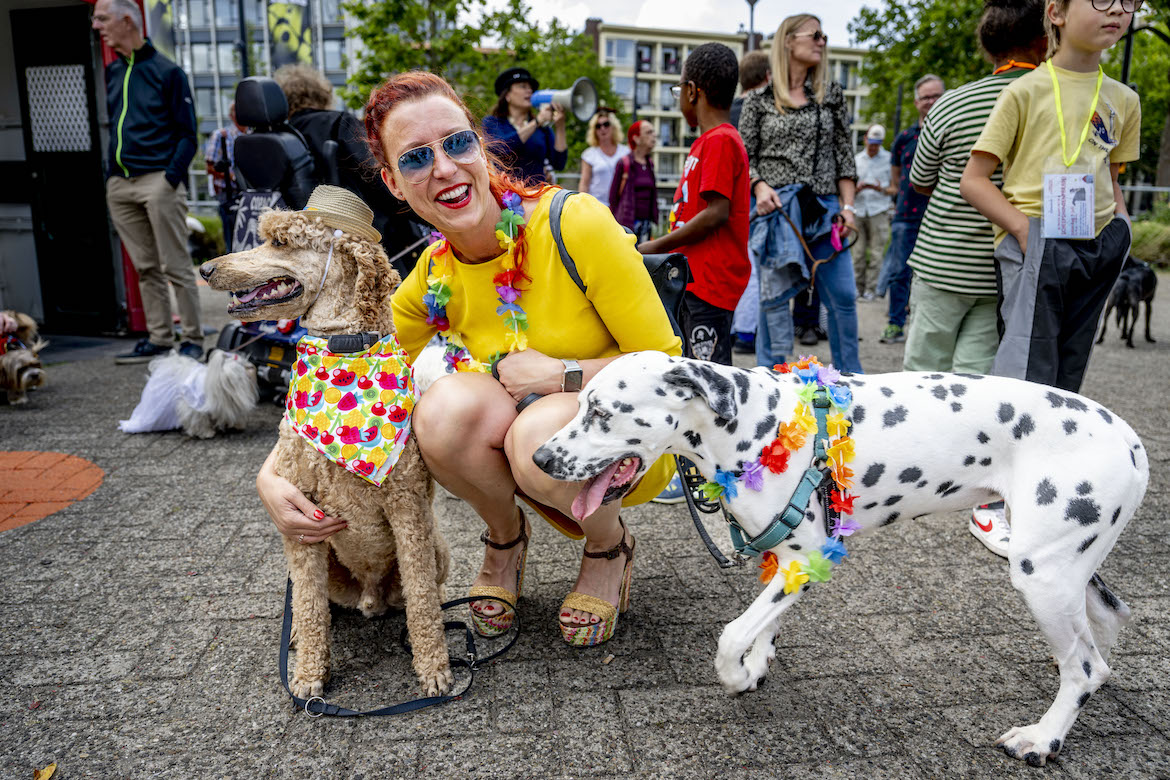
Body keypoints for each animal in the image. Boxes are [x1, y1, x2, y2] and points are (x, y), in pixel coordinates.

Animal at [118, 348, 256, 439]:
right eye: (242, 366)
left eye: (246, 362)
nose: (252, 366)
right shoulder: (195, 406)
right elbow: (199, 421)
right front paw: (206, 433)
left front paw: (237, 425)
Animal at [535, 353, 1146, 767]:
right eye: (581, 402)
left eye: (601, 411)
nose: (540, 456)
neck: (749, 425)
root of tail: (1131, 439)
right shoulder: (786, 558)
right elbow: (764, 624)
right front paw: (759, 664)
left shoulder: (806, 557)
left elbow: (732, 634)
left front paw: (737, 675)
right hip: (1064, 570)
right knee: (1096, 648)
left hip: (1041, 577)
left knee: (1085, 666)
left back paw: (1043, 737)